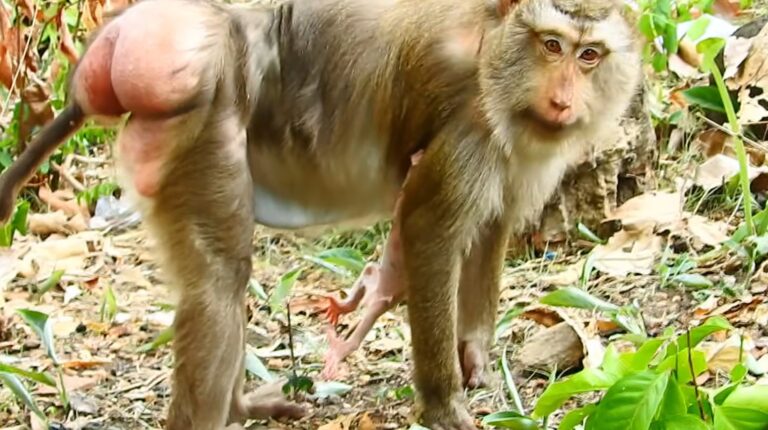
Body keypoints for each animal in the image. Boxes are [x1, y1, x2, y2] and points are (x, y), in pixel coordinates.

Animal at [0, 0, 642, 429]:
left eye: (589, 55)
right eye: (552, 46)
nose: (562, 99)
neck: (495, 50)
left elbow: (492, 225)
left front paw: (474, 351)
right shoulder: (471, 124)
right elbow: (430, 229)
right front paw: (443, 402)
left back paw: (241, 405)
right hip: (202, 122)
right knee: (219, 283)